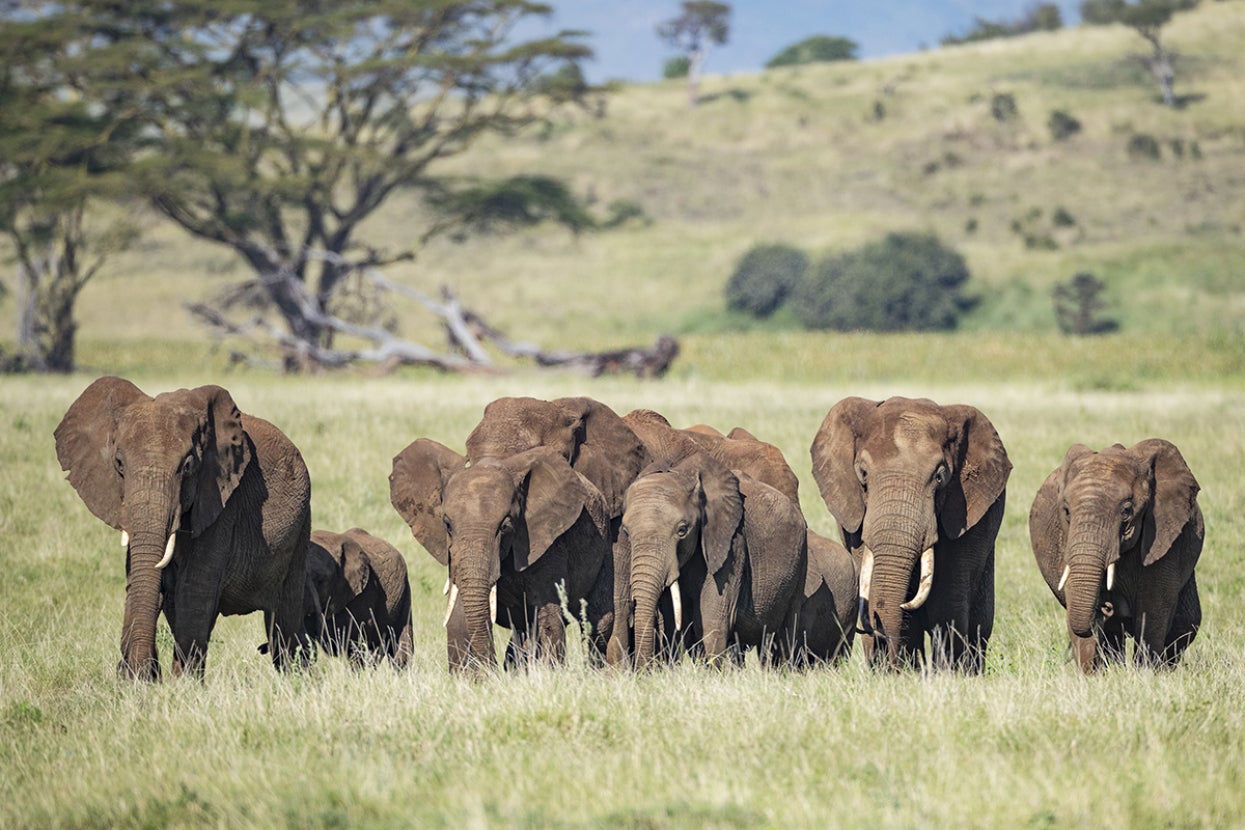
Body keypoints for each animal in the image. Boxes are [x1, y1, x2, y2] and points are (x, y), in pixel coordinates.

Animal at [54, 376, 311, 681]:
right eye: (118, 463)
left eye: (188, 466)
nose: (139, 671)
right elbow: (146, 582)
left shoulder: (222, 500)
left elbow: (195, 587)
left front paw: (182, 685)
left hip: (301, 528)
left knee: (284, 619)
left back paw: (294, 678)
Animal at [389, 439, 613, 672]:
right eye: (447, 525)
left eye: (505, 527)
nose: (492, 670)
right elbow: (459, 618)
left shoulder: (548, 543)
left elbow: (549, 617)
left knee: (598, 623)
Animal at [810, 396, 1011, 672]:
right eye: (863, 473)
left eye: (940, 477)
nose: (876, 631)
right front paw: (902, 674)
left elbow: (947, 597)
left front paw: (946, 675)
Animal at [1028, 439, 1203, 672]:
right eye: (1066, 511)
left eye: (1127, 511)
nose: (1107, 606)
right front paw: (1091, 676)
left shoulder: (1165, 539)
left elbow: (1152, 613)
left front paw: (1145, 675)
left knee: (1185, 623)